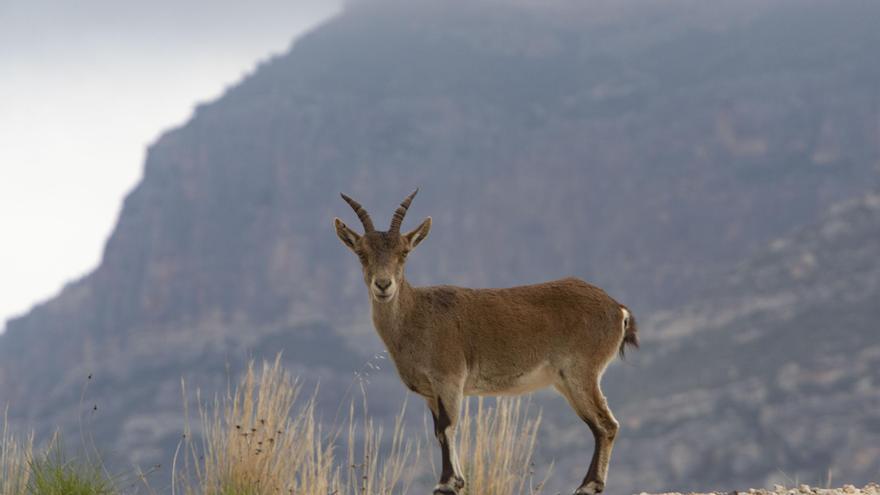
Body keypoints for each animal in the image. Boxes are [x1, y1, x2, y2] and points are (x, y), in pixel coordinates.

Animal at [334, 191, 636, 495]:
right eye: (362, 253)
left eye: (404, 252)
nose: (383, 285)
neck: (416, 315)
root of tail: (618, 310)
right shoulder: (432, 393)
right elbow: (439, 430)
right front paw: (455, 480)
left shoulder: (449, 379)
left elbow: (446, 427)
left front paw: (446, 483)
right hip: (566, 380)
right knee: (599, 425)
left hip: (581, 372)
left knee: (606, 424)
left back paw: (589, 485)